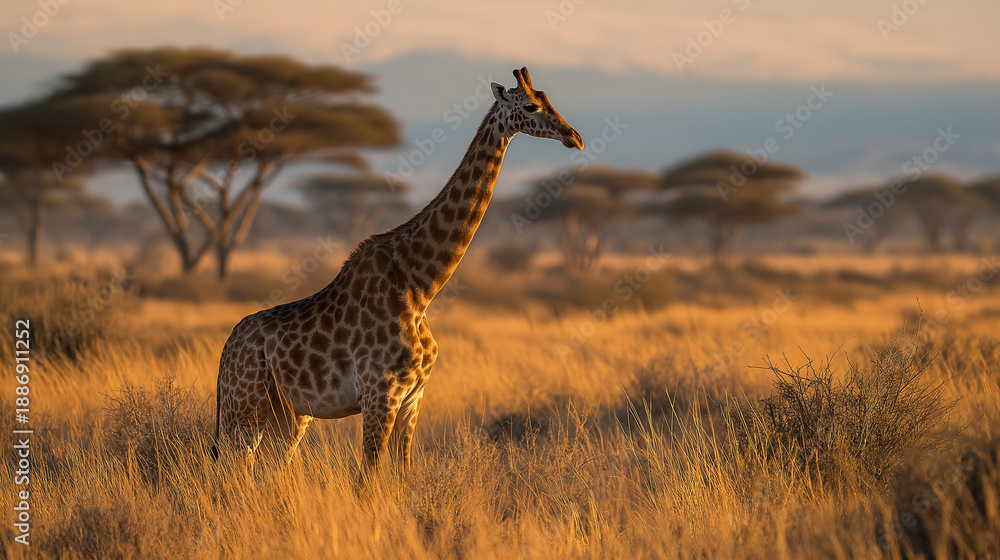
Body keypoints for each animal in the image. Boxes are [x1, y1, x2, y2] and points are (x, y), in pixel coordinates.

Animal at [212, 67, 583, 479]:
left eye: (548, 98)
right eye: (531, 106)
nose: (574, 137)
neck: (420, 286)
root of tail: (226, 352)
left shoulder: (413, 397)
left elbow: (404, 474)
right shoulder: (380, 395)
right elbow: (368, 477)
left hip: (289, 414)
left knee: (268, 468)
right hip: (243, 408)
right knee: (232, 470)